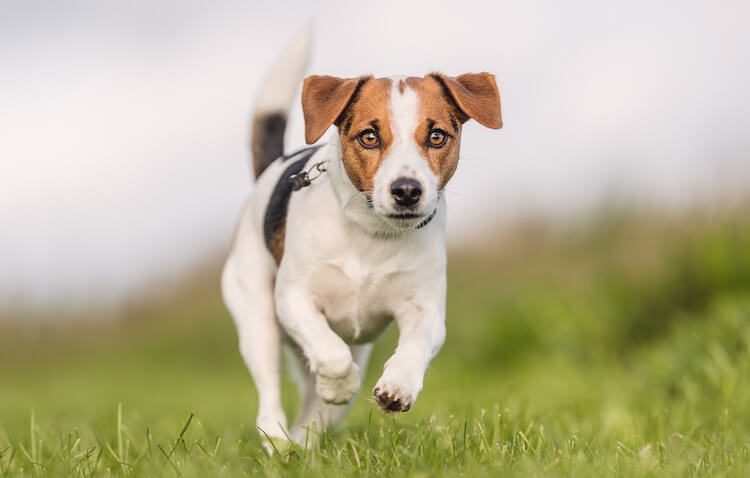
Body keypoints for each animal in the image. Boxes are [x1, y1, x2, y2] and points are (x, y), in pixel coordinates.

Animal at [223, 29, 506, 446]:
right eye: (369, 137)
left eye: (437, 136)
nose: (407, 191)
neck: (373, 232)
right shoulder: (293, 299)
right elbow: (331, 354)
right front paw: (340, 384)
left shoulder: (425, 309)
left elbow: (414, 345)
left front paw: (398, 385)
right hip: (258, 319)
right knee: (270, 393)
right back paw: (278, 439)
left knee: (313, 414)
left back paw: (303, 443)